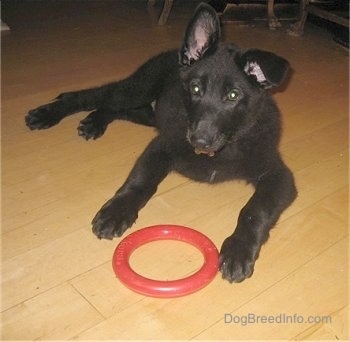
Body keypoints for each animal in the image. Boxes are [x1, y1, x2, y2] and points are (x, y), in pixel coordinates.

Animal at [26, 4, 296, 284]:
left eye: (233, 95)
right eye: (195, 89)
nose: (199, 140)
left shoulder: (278, 176)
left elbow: (255, 210)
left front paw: (238, 251)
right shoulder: (161, 146)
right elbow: (140, 181)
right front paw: (116, 212)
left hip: (147, 112)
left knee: (116, 109)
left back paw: (94, 122)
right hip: (137, 89)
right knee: (90, 96)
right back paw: (46, 114)